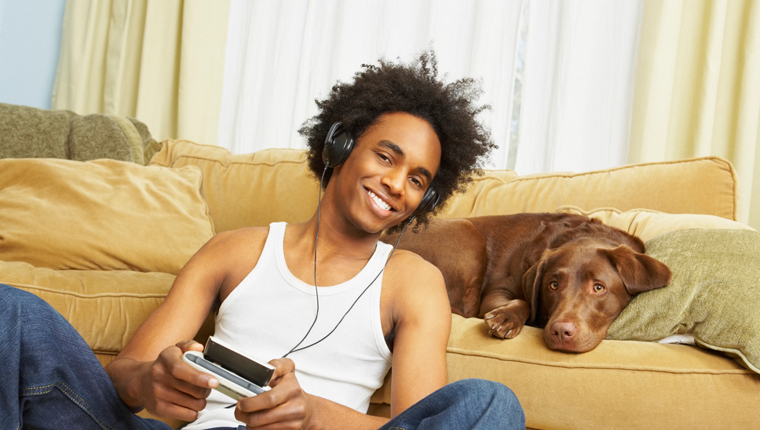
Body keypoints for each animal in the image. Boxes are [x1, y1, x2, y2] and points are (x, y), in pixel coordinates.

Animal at [380, 212, 672, 352]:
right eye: (553, 285)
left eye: (598, 287)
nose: (561, 331)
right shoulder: (497, 291)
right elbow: (522, 301)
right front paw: (506, 317)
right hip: (467, 232)